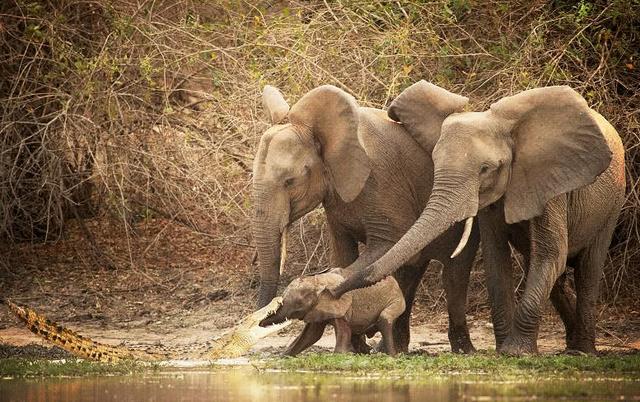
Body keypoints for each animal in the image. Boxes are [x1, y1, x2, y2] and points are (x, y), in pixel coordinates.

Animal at [258, 268, 402, 356]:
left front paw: (339, 355)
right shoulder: (317, 308)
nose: (259, 324)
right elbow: (310, 335)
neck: (318, 280)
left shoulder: (340, 306)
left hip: (396, 301)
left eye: (298, 305)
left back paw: (392, 356)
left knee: (384, 320)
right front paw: (284, 356)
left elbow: (343, 331)